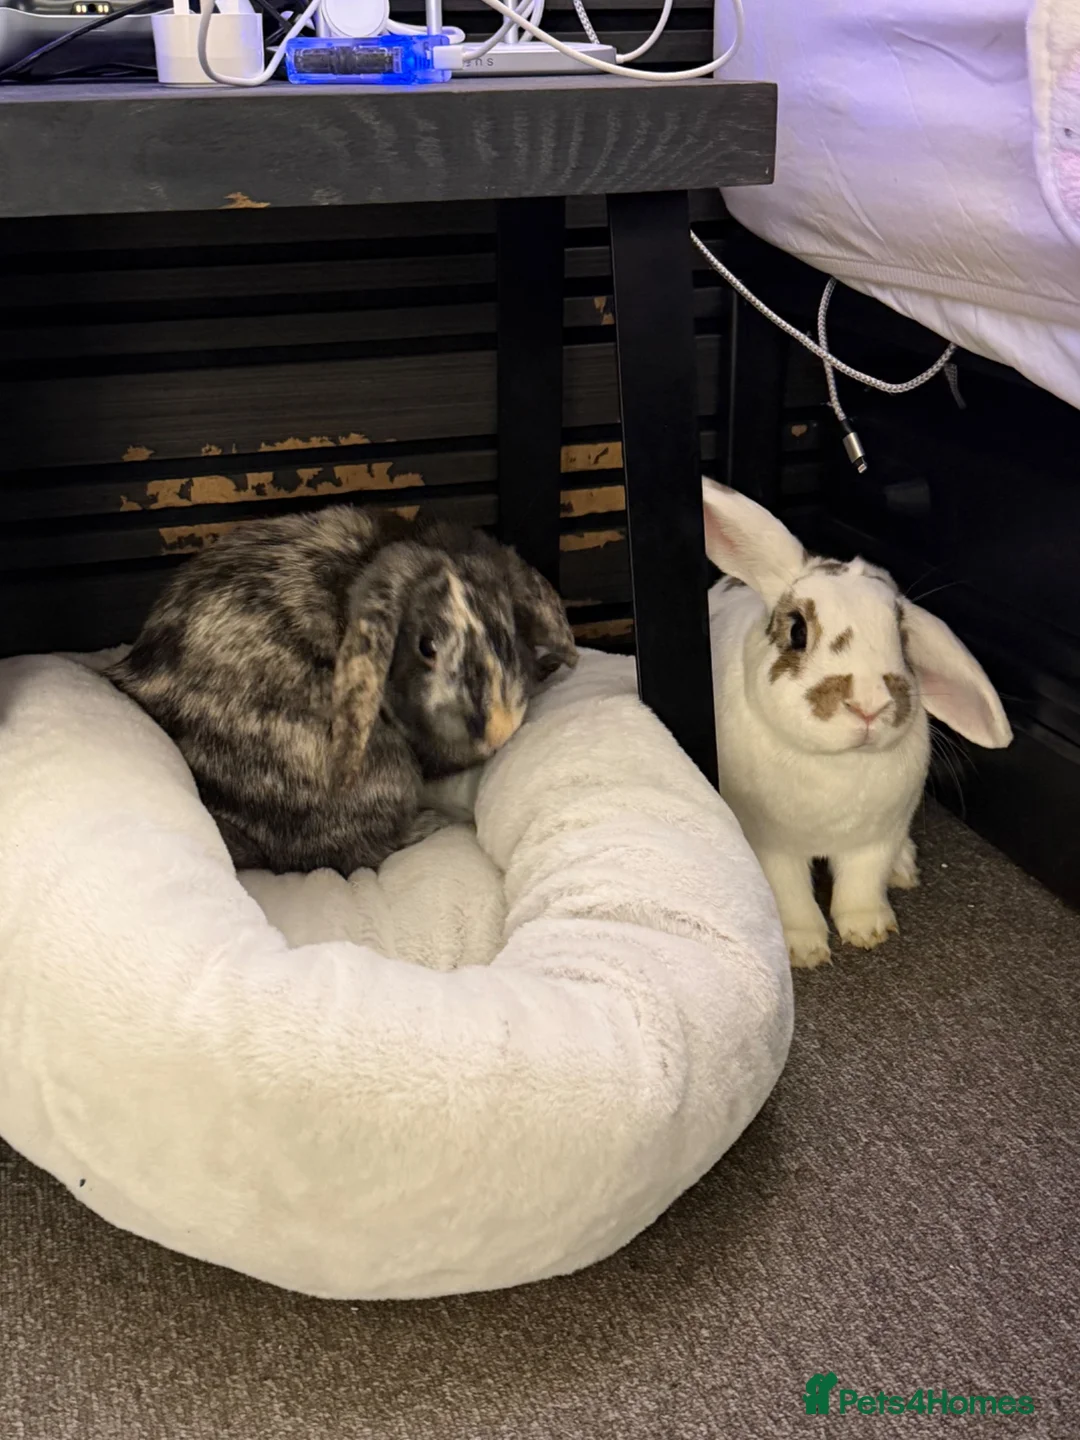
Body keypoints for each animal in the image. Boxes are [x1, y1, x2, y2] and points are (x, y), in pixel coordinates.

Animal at [702, 478, 1012, 969]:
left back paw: (904, 870)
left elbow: (862, 885)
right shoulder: (770, 846)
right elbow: (789, 894)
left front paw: (868, 932)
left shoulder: (877, 838)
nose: (870, 704)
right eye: (797, 631)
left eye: (902, 640)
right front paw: (804, 950)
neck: (839, 762)